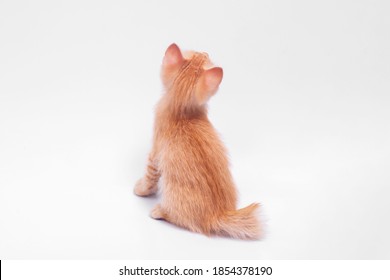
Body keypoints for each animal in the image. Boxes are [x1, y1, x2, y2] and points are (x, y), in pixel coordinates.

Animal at [135, 43, 262, 241]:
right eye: (197, 55)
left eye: (204, 57)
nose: (205, 52)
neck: (182, 114)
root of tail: (218, 214)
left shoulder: (155, 153)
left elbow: (149, 177)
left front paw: (140, 190)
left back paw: (159, 211)